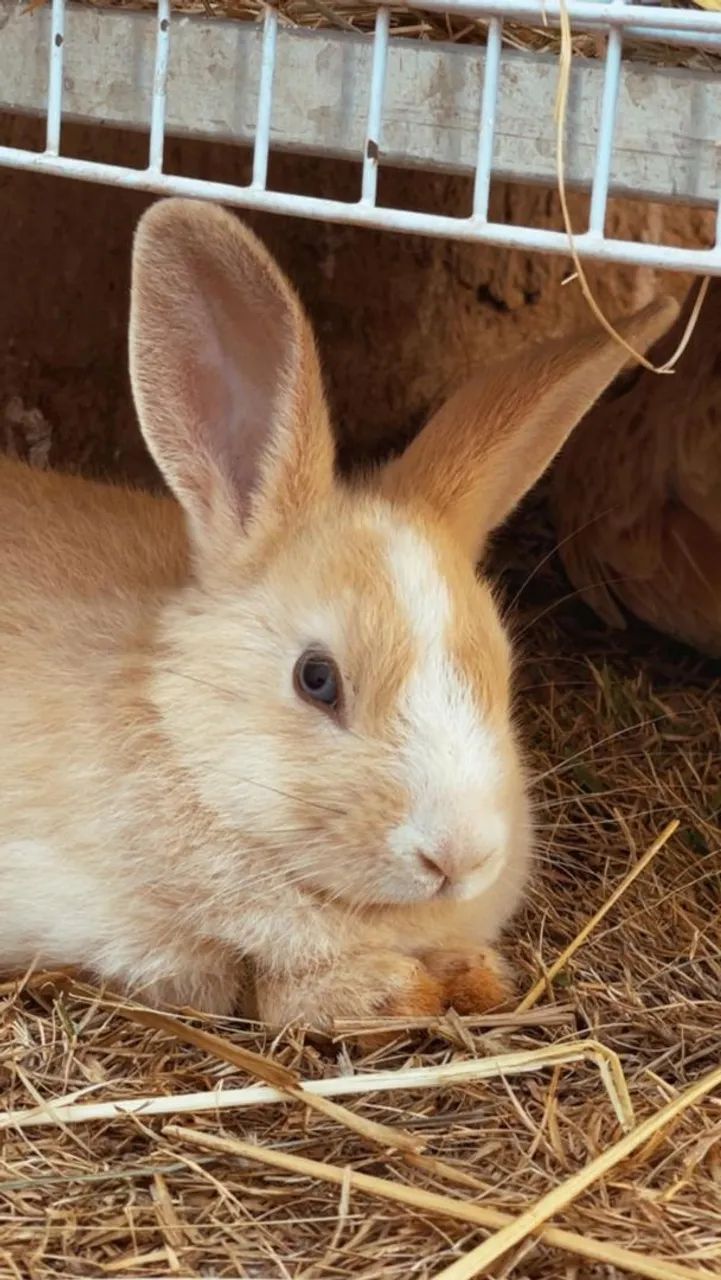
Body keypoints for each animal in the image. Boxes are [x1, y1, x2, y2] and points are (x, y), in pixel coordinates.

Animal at [0, 198, 679, 1026]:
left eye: (504, 673)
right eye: (315, 678)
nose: (458, 856)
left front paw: (469, 975)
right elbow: (260, 986)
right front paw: (389, 991)